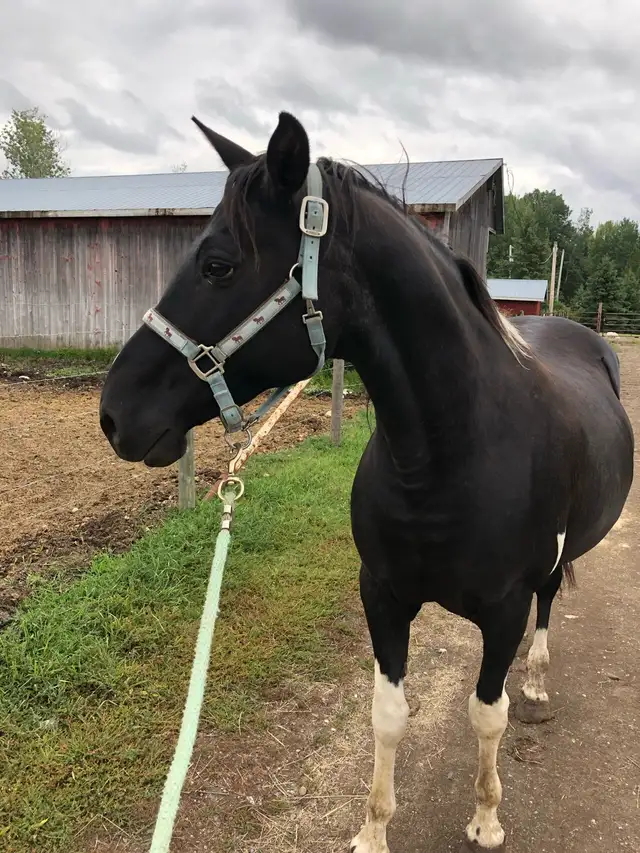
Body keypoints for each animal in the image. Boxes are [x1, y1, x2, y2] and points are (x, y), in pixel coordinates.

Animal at [99, 111, 634, 852]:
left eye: (217, 265)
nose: (113, 413)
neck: (450, 457)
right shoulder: (382, 595)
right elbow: (388, 715)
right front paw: (373, 828)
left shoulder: (503, 610)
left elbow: (486, 714)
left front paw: (487, 816)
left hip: (550, 571)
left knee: (550, 607)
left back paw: (536, 685)